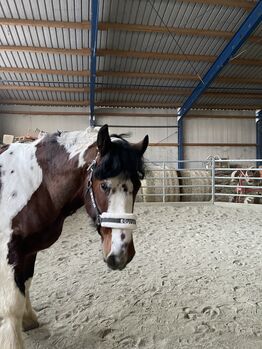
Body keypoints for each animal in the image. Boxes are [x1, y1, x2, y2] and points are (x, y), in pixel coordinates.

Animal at [0, 125, 148, 348]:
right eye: (104, 185)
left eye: (137, 186)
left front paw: (28, 320)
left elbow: (26, 284)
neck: (34, 184)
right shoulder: (8, 252)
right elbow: (11, 305)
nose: (121, 253)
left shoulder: (29, 249)